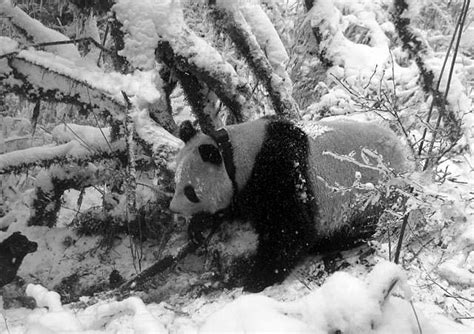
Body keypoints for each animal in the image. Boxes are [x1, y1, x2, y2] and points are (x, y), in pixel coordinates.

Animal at [170, 117, 414, 292]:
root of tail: (405, 157)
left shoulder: (281, 172)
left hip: (371, 197)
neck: (237, 155)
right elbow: (233, 207)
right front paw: (198, 227)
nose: (173, 209)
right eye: (176, 182)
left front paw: (257, 277)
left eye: (190, 192)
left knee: (358, 226)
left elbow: (290, 229)